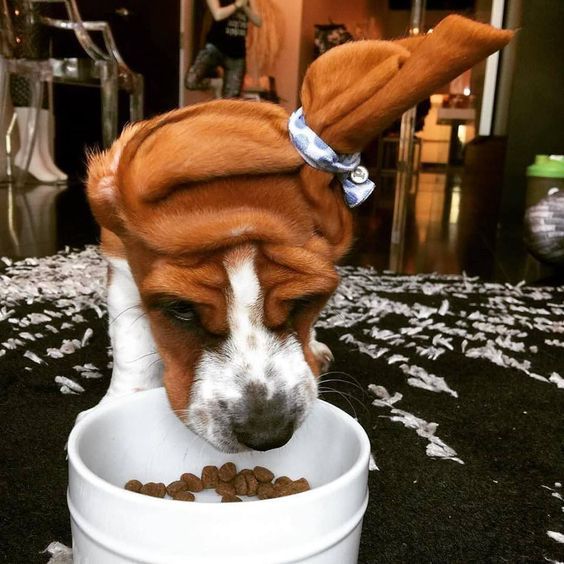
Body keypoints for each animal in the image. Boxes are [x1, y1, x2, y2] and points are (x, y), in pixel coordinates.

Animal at [85, 15, 516, 452]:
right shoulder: (121, 265)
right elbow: (131, 340)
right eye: (181, 310)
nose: (266, 435)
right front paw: (121, 402)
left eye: (304, 302)